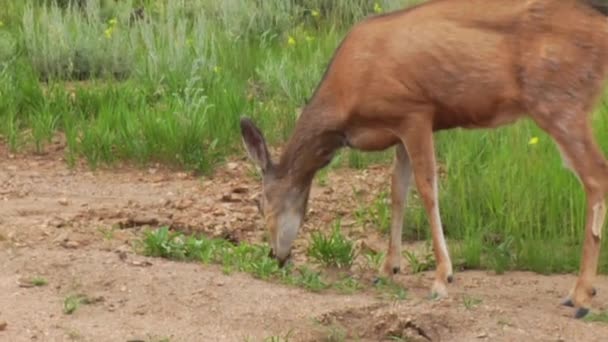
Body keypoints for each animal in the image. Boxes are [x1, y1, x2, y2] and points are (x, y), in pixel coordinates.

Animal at [240, 0, 608, 320]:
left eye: (260, 202)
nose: (275, 255)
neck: (346, 103)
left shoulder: (415, 111)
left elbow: (427, 188)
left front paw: (442, 278)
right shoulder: (398, 128)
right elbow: (397, 192)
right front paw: (388, 268)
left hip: (559, 101)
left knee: (596, 175)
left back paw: (580, 296)